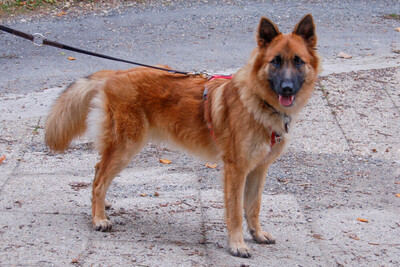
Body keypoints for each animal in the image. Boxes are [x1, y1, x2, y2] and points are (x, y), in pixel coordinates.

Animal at [44, 13, 318, 258]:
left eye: (298, 62)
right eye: (275, 62)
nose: (287, 89)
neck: (258, 101)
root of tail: (114, 74)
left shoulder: (258, 169)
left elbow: (253, 206)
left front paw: (257, 234)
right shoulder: (236, 171)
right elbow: (235, 212)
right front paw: (237, 245)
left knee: (97, 171)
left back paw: (102, 207)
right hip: (126, 147)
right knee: (100, 180)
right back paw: (99, 218)